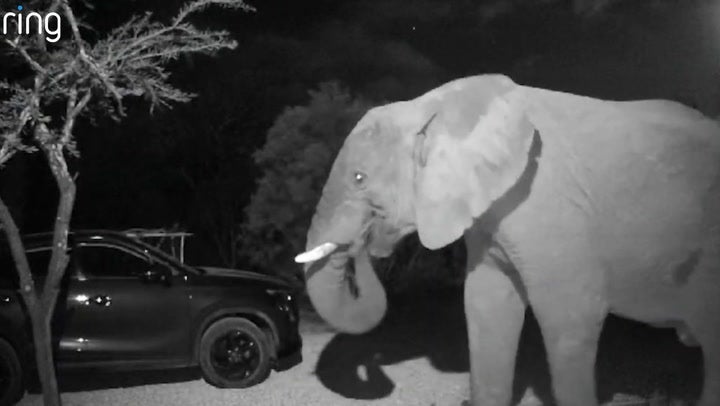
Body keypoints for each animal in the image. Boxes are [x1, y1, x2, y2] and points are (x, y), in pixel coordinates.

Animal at [295, 74, 720, 406]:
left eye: (359, 178)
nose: (363, 243)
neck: (433, 106)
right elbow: (486, 306)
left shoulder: (551, 207)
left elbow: (570, 313)